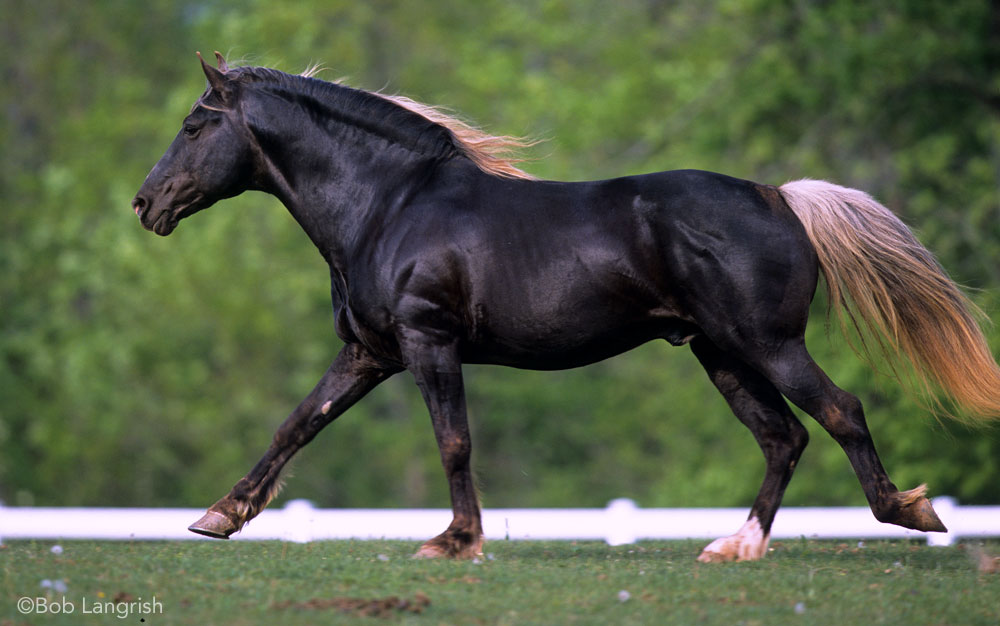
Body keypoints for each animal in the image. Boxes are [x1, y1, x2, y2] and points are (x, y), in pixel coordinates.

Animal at [131, 53, 1000, 560]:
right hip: (721, 353)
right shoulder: (371, 352)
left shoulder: (427, 341)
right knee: (783, 438)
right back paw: (735, 546)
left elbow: (454, 442)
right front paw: (219, 515)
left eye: (194, 124)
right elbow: (296, 425)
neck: (391, 205)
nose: (146, 205)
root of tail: (780, 197)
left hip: (766, 342)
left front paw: (455, 541)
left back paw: (911, 513)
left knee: (840, 411)